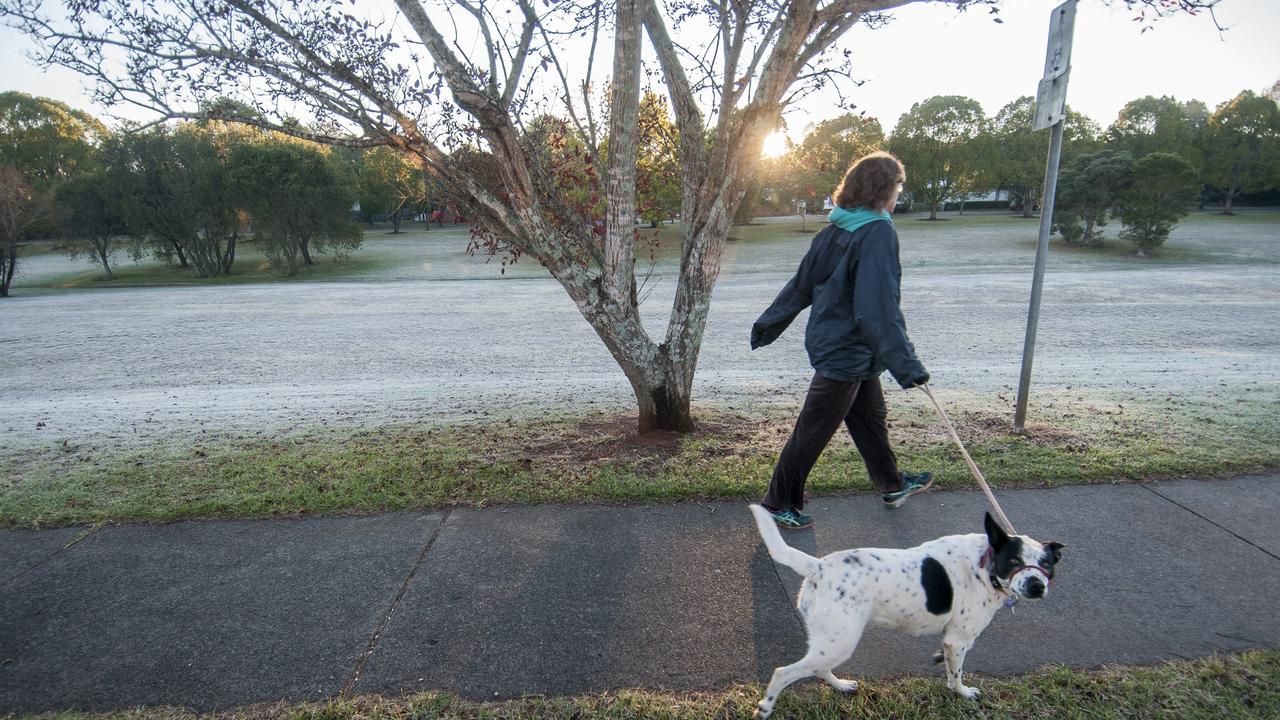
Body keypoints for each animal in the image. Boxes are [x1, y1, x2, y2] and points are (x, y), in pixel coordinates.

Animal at [747, 502, 1059, 712]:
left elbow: (949, 668)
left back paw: (843, 686)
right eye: (1014, 561)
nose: (1036, 586)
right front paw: (963, 693)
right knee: (783, 673)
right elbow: (956, 676)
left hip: (831, 644)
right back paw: (766, 707)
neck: (986, 564)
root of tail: (818, 566)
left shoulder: (950, 641)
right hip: (840, 642)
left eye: (1046, 564)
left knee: (820, 669)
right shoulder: (959, 641)